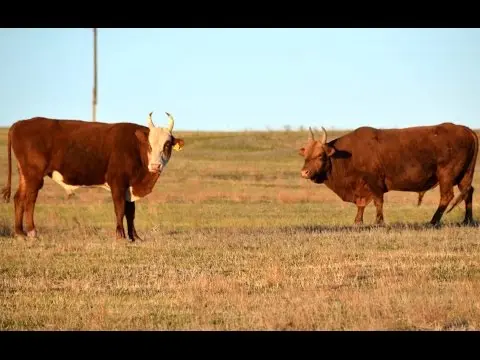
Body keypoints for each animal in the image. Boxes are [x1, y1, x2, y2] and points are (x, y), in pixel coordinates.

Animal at [0, 112, 185, 242]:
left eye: (167, 144)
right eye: (149, 145)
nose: (155, 166)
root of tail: (19, 123)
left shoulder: (129, 186)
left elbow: (131, 212)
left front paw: (135, 237)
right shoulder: (117, 183)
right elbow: (120, 209)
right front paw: (120, 236)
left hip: (24, 173)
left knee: (19, 198)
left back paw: (20, 233)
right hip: (34, 175)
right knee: (29, 199)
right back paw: (32, 232)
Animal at [298, 123, 478, 225]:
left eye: (320, 155)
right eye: (305, 154)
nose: (304, 172)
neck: (350, 154)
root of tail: (467, 130)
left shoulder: (374, 182)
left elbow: (378, 202)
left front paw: (379, 221)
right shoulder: (362, 188)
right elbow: (361, 205)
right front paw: (358, 221)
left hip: (446, 175)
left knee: (447, 196)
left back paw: (433, 221)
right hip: (464, 175)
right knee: (468, 192)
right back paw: (467, 220)